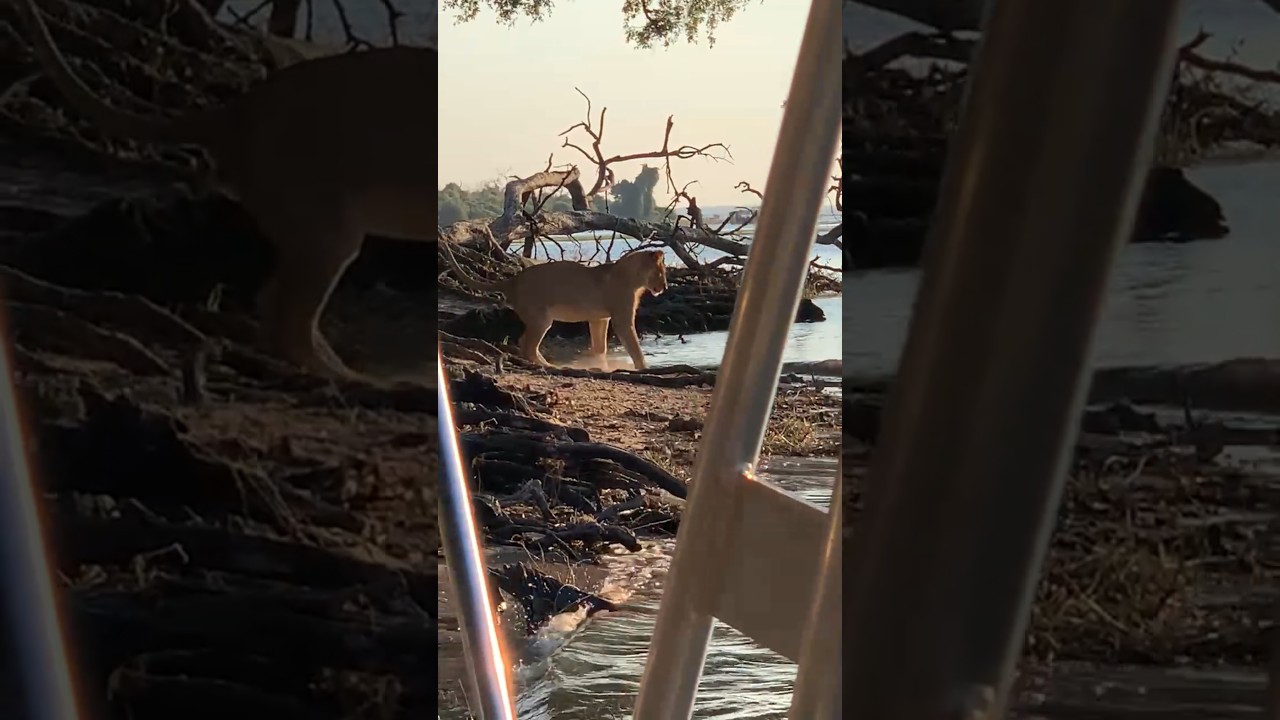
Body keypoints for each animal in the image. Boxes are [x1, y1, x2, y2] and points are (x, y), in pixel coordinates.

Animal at [440, 244, 668, 370]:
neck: (633, 277)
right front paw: (643, 367)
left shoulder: (599, 318)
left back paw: (549, 364)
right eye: (661, 272)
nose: (665, 287)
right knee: (527, 345)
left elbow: (600, 346)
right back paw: (547, 366)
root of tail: (513, 280)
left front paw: (600, 364)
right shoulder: (621, 318)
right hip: (541, 318)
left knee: (525, 343)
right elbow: (634, 346)